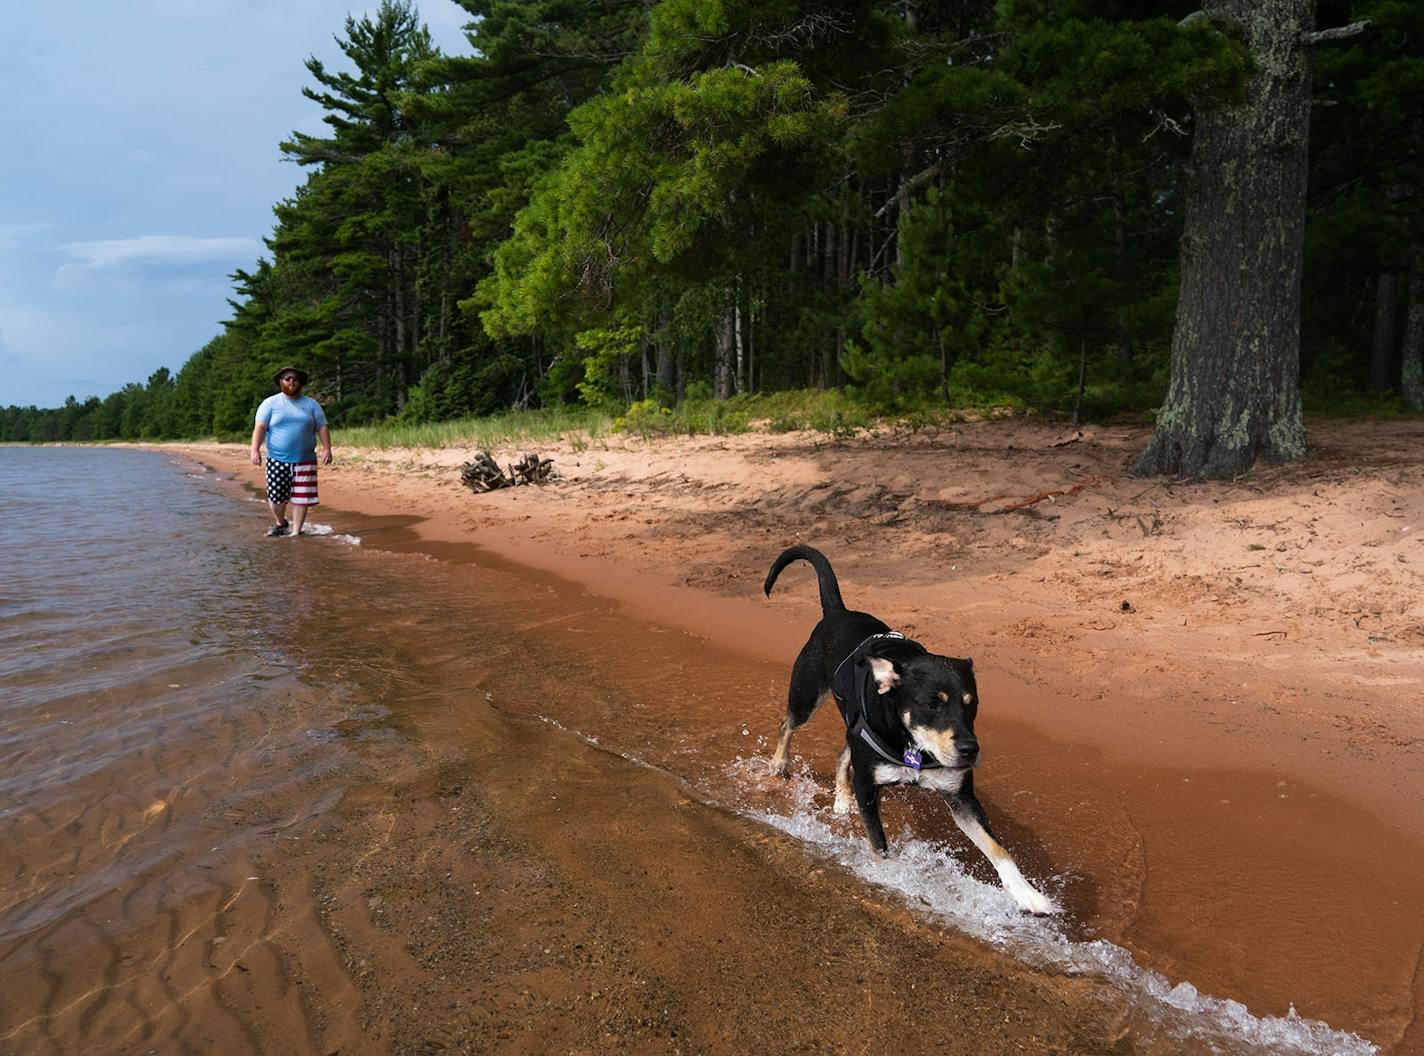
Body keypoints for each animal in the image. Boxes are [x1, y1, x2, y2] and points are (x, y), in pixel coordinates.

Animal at [768, 546, 1059, 916]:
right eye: (932, 704)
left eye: (972, 704)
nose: (970, 750)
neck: (913, 746)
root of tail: (838, 612)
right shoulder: (868, 786)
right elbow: (879, 845)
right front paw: (890, 879)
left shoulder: (961, 797)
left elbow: (998, 849)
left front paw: (1027, 893)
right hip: (807, 695)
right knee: (787, 724)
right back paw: (779, 763)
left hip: (853, 727)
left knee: (841, 753)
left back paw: (841, 798)